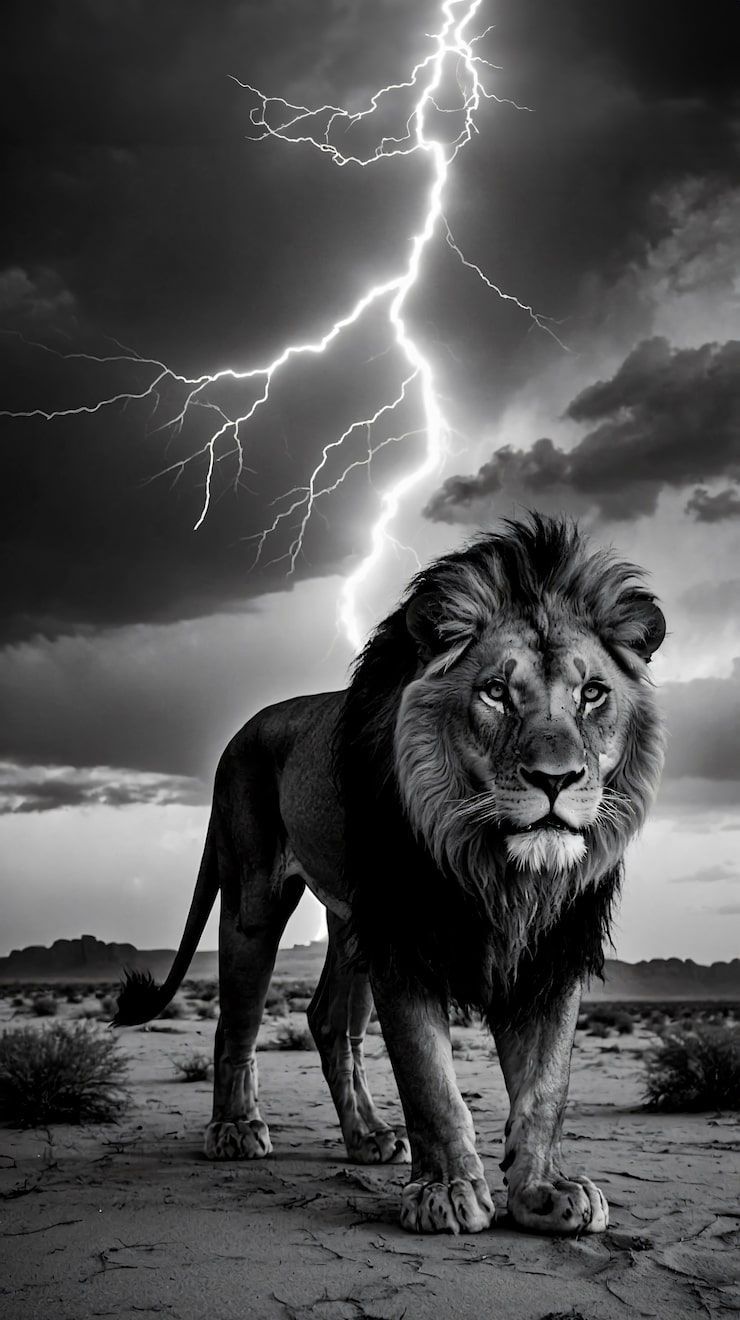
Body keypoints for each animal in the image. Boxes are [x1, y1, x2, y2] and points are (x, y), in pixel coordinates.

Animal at [115, 513, 666, 1236]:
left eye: (592, 693)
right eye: (496, 692)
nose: (556, 779)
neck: (499, 868)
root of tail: (240, 735)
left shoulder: (553, 945)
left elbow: (546, 1085)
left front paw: (548, 1190)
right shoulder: (404, 935)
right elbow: (429, 1080)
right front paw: (446, 1192)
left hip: (351, 920)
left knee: (327, 1021)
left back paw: (368, 1137)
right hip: (254, 898)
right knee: (236, 1020)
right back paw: (235, 1131)